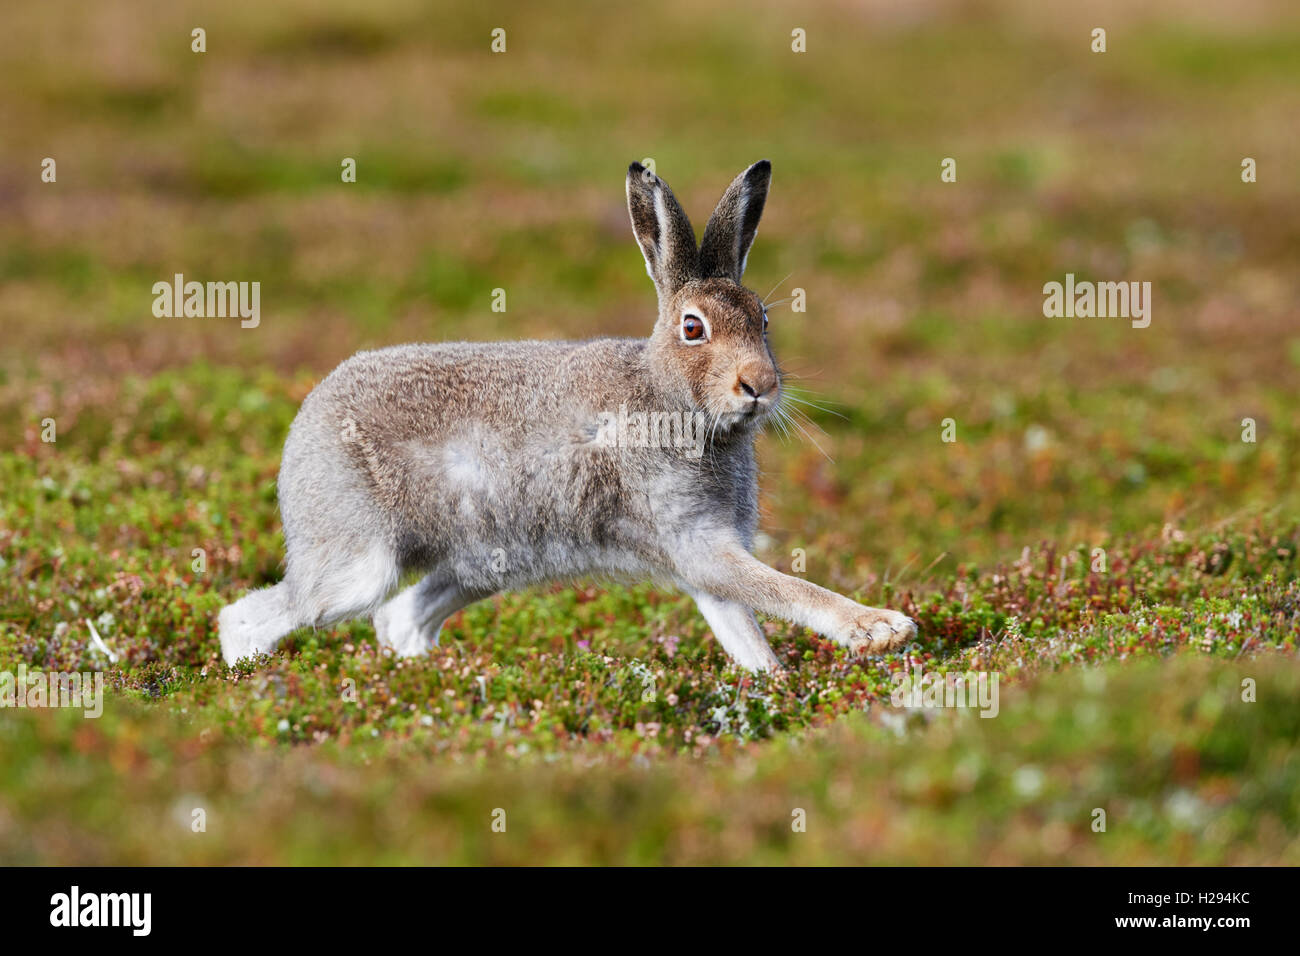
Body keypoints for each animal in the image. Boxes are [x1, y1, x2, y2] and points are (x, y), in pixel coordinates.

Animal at [218, 160, 917, 671]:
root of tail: (304, 421)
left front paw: (773, 683)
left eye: (764, 320)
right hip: (359, 564)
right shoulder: (696, 542)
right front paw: (882, 627)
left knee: (400, 618)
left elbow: (743, 629)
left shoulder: (706, 558)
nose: (760, 386)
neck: (670, 398)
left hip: (486, 562)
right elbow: (783, 591)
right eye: (693, 328)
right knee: (254, 617)